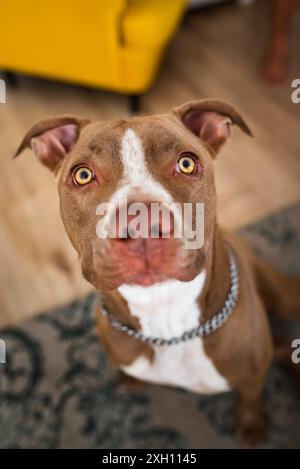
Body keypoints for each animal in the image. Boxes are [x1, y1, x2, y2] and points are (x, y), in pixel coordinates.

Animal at [13, 99, 300, 446]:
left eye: (187, 164)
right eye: (82, 175)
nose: (142, 225)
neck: (164, 314)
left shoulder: (252, 377)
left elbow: (250, 398)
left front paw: (251, 427)